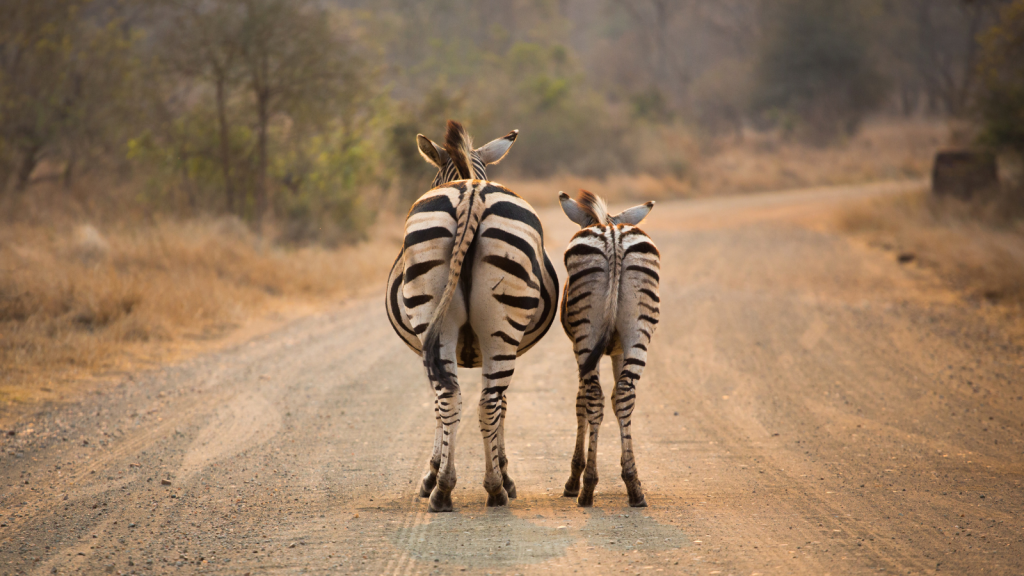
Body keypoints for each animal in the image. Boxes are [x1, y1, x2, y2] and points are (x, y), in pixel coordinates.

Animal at [385, 119, 561, 510]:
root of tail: (470, 195)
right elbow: (492, 405)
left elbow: (441, 407)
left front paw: (432, 473)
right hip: (497, 328)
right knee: (481, 401)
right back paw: (475, 488)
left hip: (455, 323)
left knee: (460, 399)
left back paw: (461, 488)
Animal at [557, 189, 659, 506]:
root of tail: (613, 236)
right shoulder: (617, 350)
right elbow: (617, 400)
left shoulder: (581, 349)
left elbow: (581, 403)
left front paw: (573, 479)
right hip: (637, 332)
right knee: (625, 393)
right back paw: (633, 487)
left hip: (586, 336)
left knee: (593, 397)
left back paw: (587, 488)